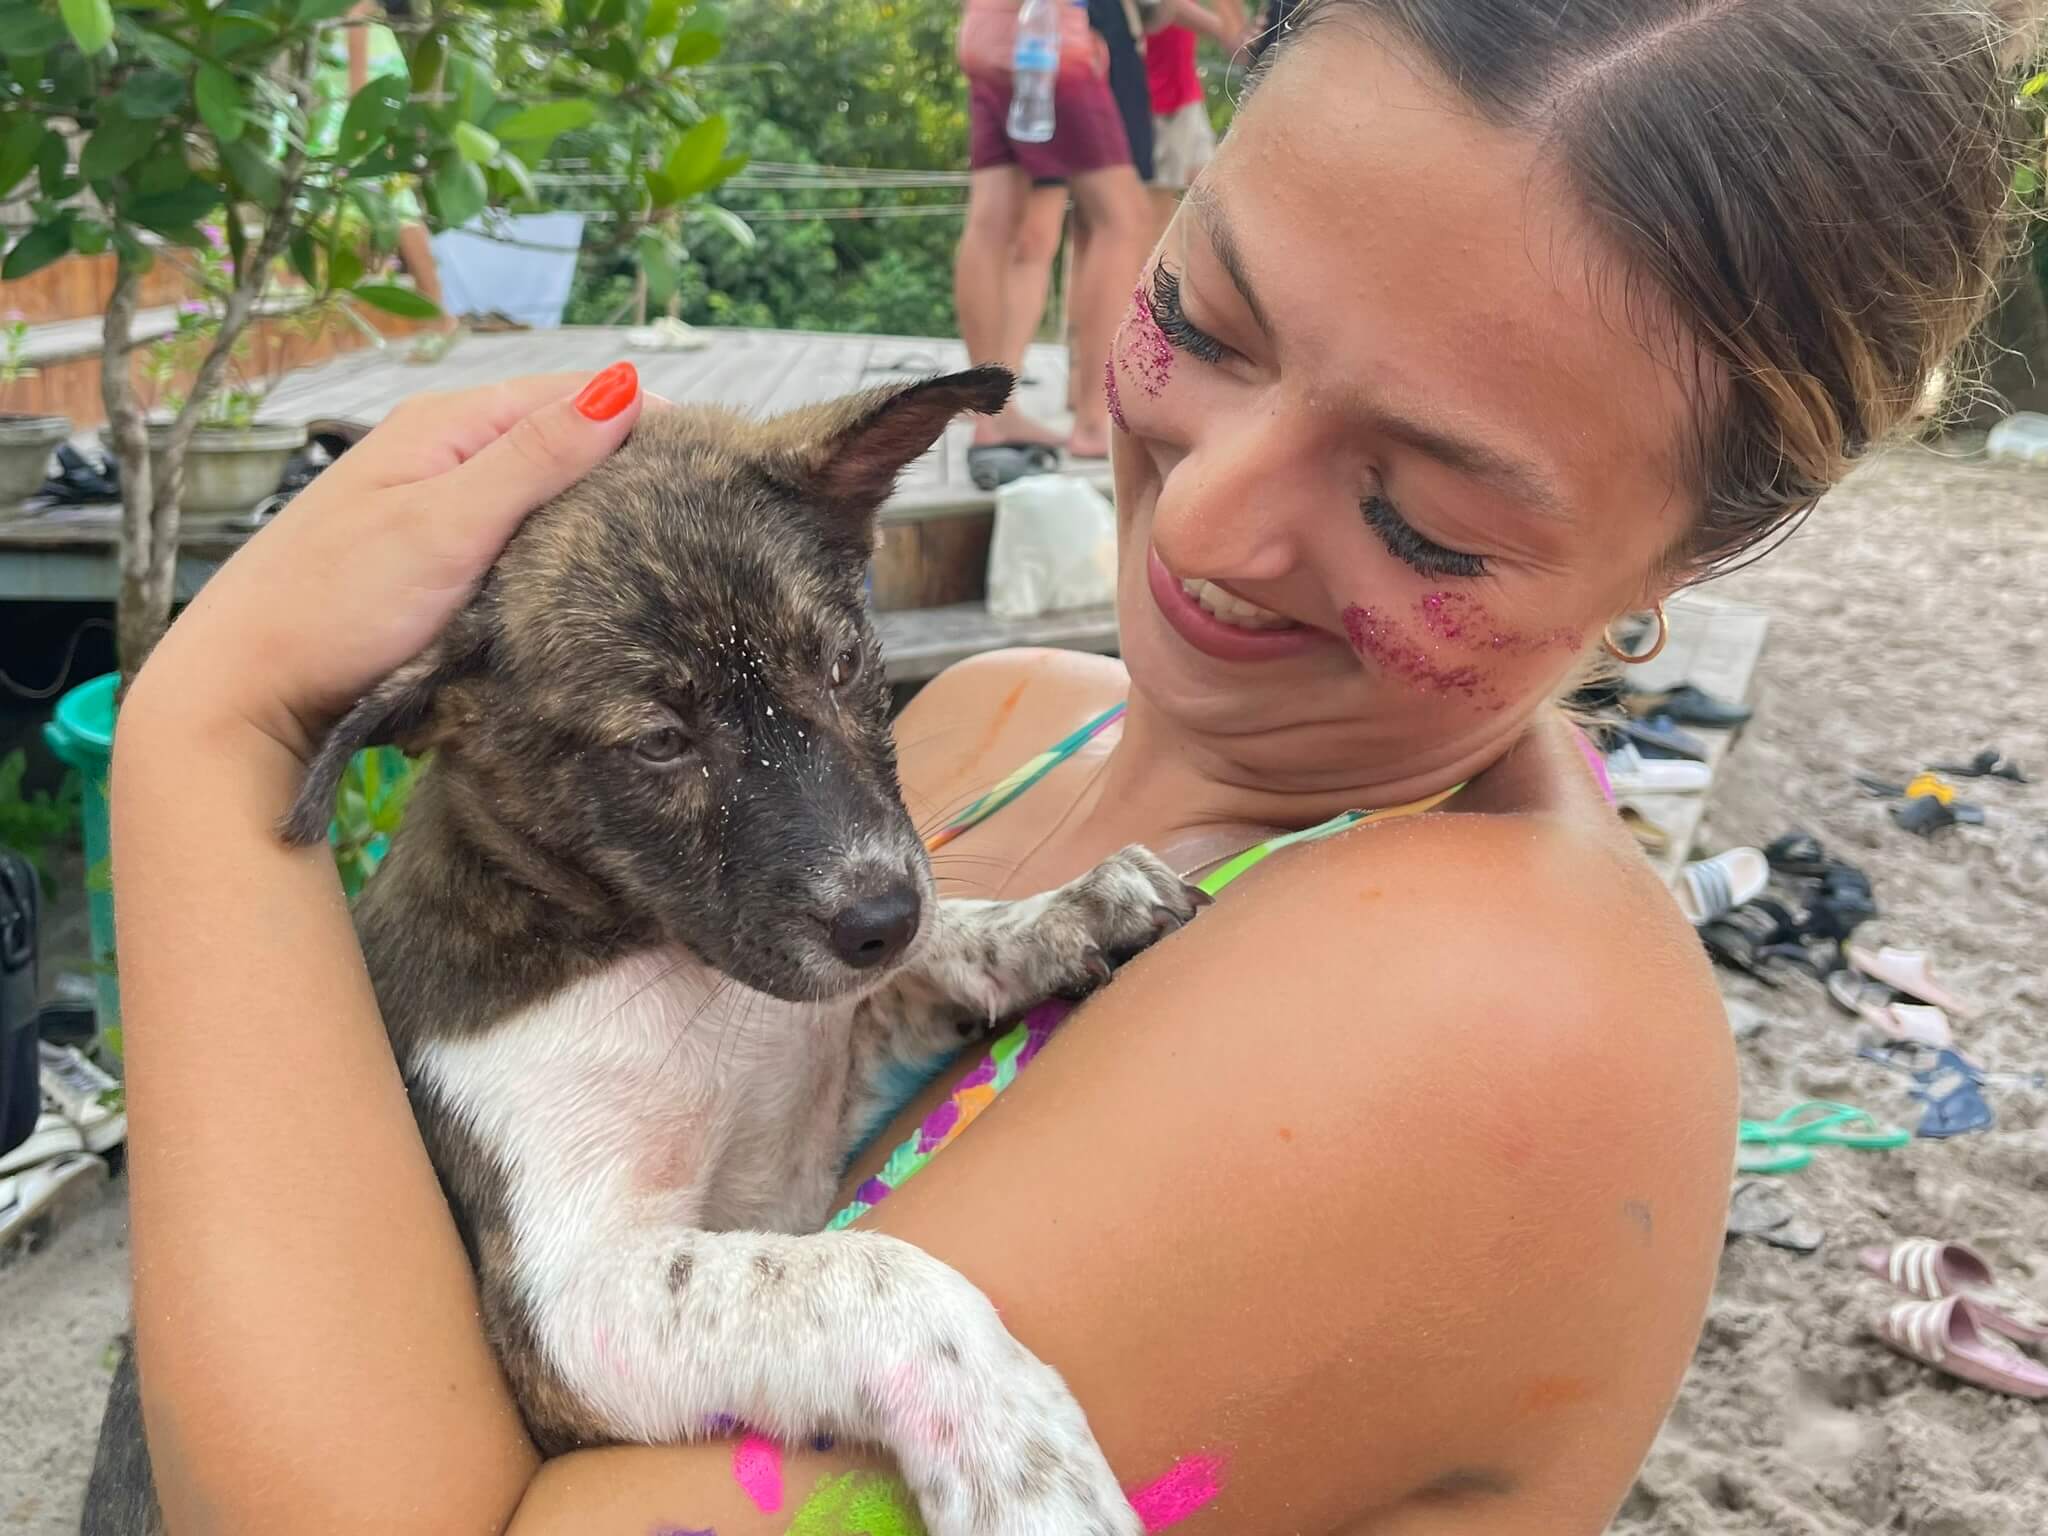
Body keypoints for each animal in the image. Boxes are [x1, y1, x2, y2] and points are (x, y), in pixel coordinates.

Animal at [83, 372, 1196, 1536]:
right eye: (660, 743)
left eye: (842, 664)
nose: (881, 915)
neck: (663, 959)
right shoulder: (571, 1308)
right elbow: (865, 1276)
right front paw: (1022, 1460)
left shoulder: (811, 1105)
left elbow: (930, 967)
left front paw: (1065, 912)